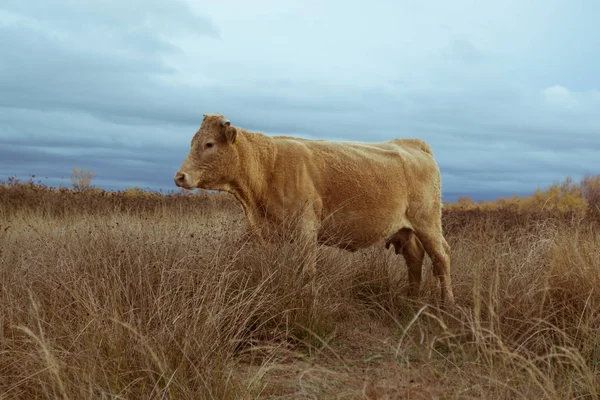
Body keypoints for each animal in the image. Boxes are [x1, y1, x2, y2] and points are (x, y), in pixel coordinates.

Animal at [173, 112, 454, 306]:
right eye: (192, 141)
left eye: (209, 144)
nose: (179, 176)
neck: (267, 167)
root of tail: (412, 144)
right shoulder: (269, 232)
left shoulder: (306, 228)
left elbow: (307, 271)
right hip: (406, 230)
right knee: (415, 258)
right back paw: (411, 301)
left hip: (428, 222)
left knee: (441, 258)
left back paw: (446, 304)